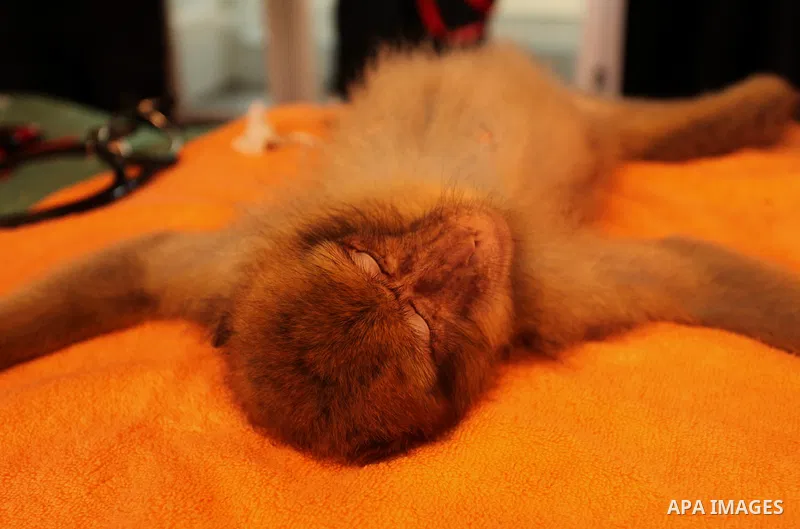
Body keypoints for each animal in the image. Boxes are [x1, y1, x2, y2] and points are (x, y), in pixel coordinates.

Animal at [1, 42, 799, 465]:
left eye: (377, 265)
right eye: (426, 324)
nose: (466, 249)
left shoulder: (220, 271)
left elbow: (138, 262)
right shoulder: (543, 285)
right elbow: (685, 269)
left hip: (579, 111)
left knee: (617, 123)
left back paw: (749, 108)